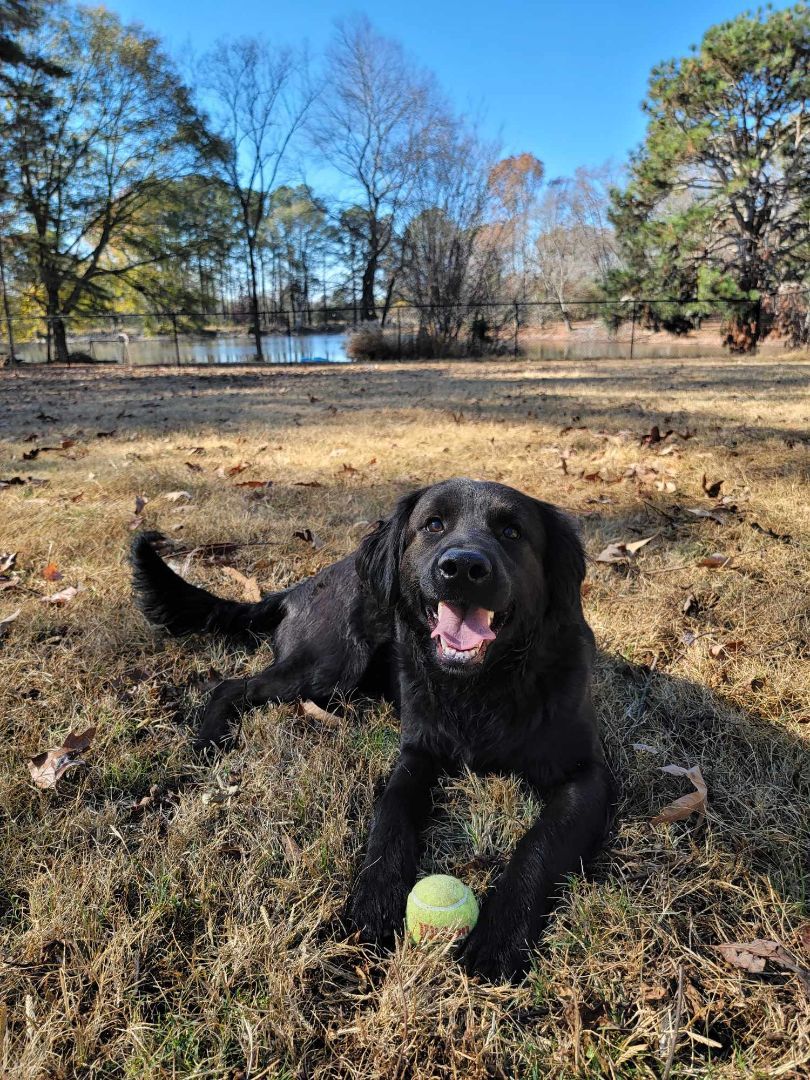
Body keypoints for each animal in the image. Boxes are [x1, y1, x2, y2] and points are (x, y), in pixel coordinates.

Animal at [133, 479, 613, 980]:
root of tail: (300, 587)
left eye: (512, 531)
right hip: (329, 666)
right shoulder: (417, 754)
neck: (480, 686)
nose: (462, 567)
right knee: (230, 686)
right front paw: (375, 899)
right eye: (433, 524)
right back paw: (208, 742)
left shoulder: (587, 777)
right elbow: (391, 816)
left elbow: (540, 844)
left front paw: (500, 935)